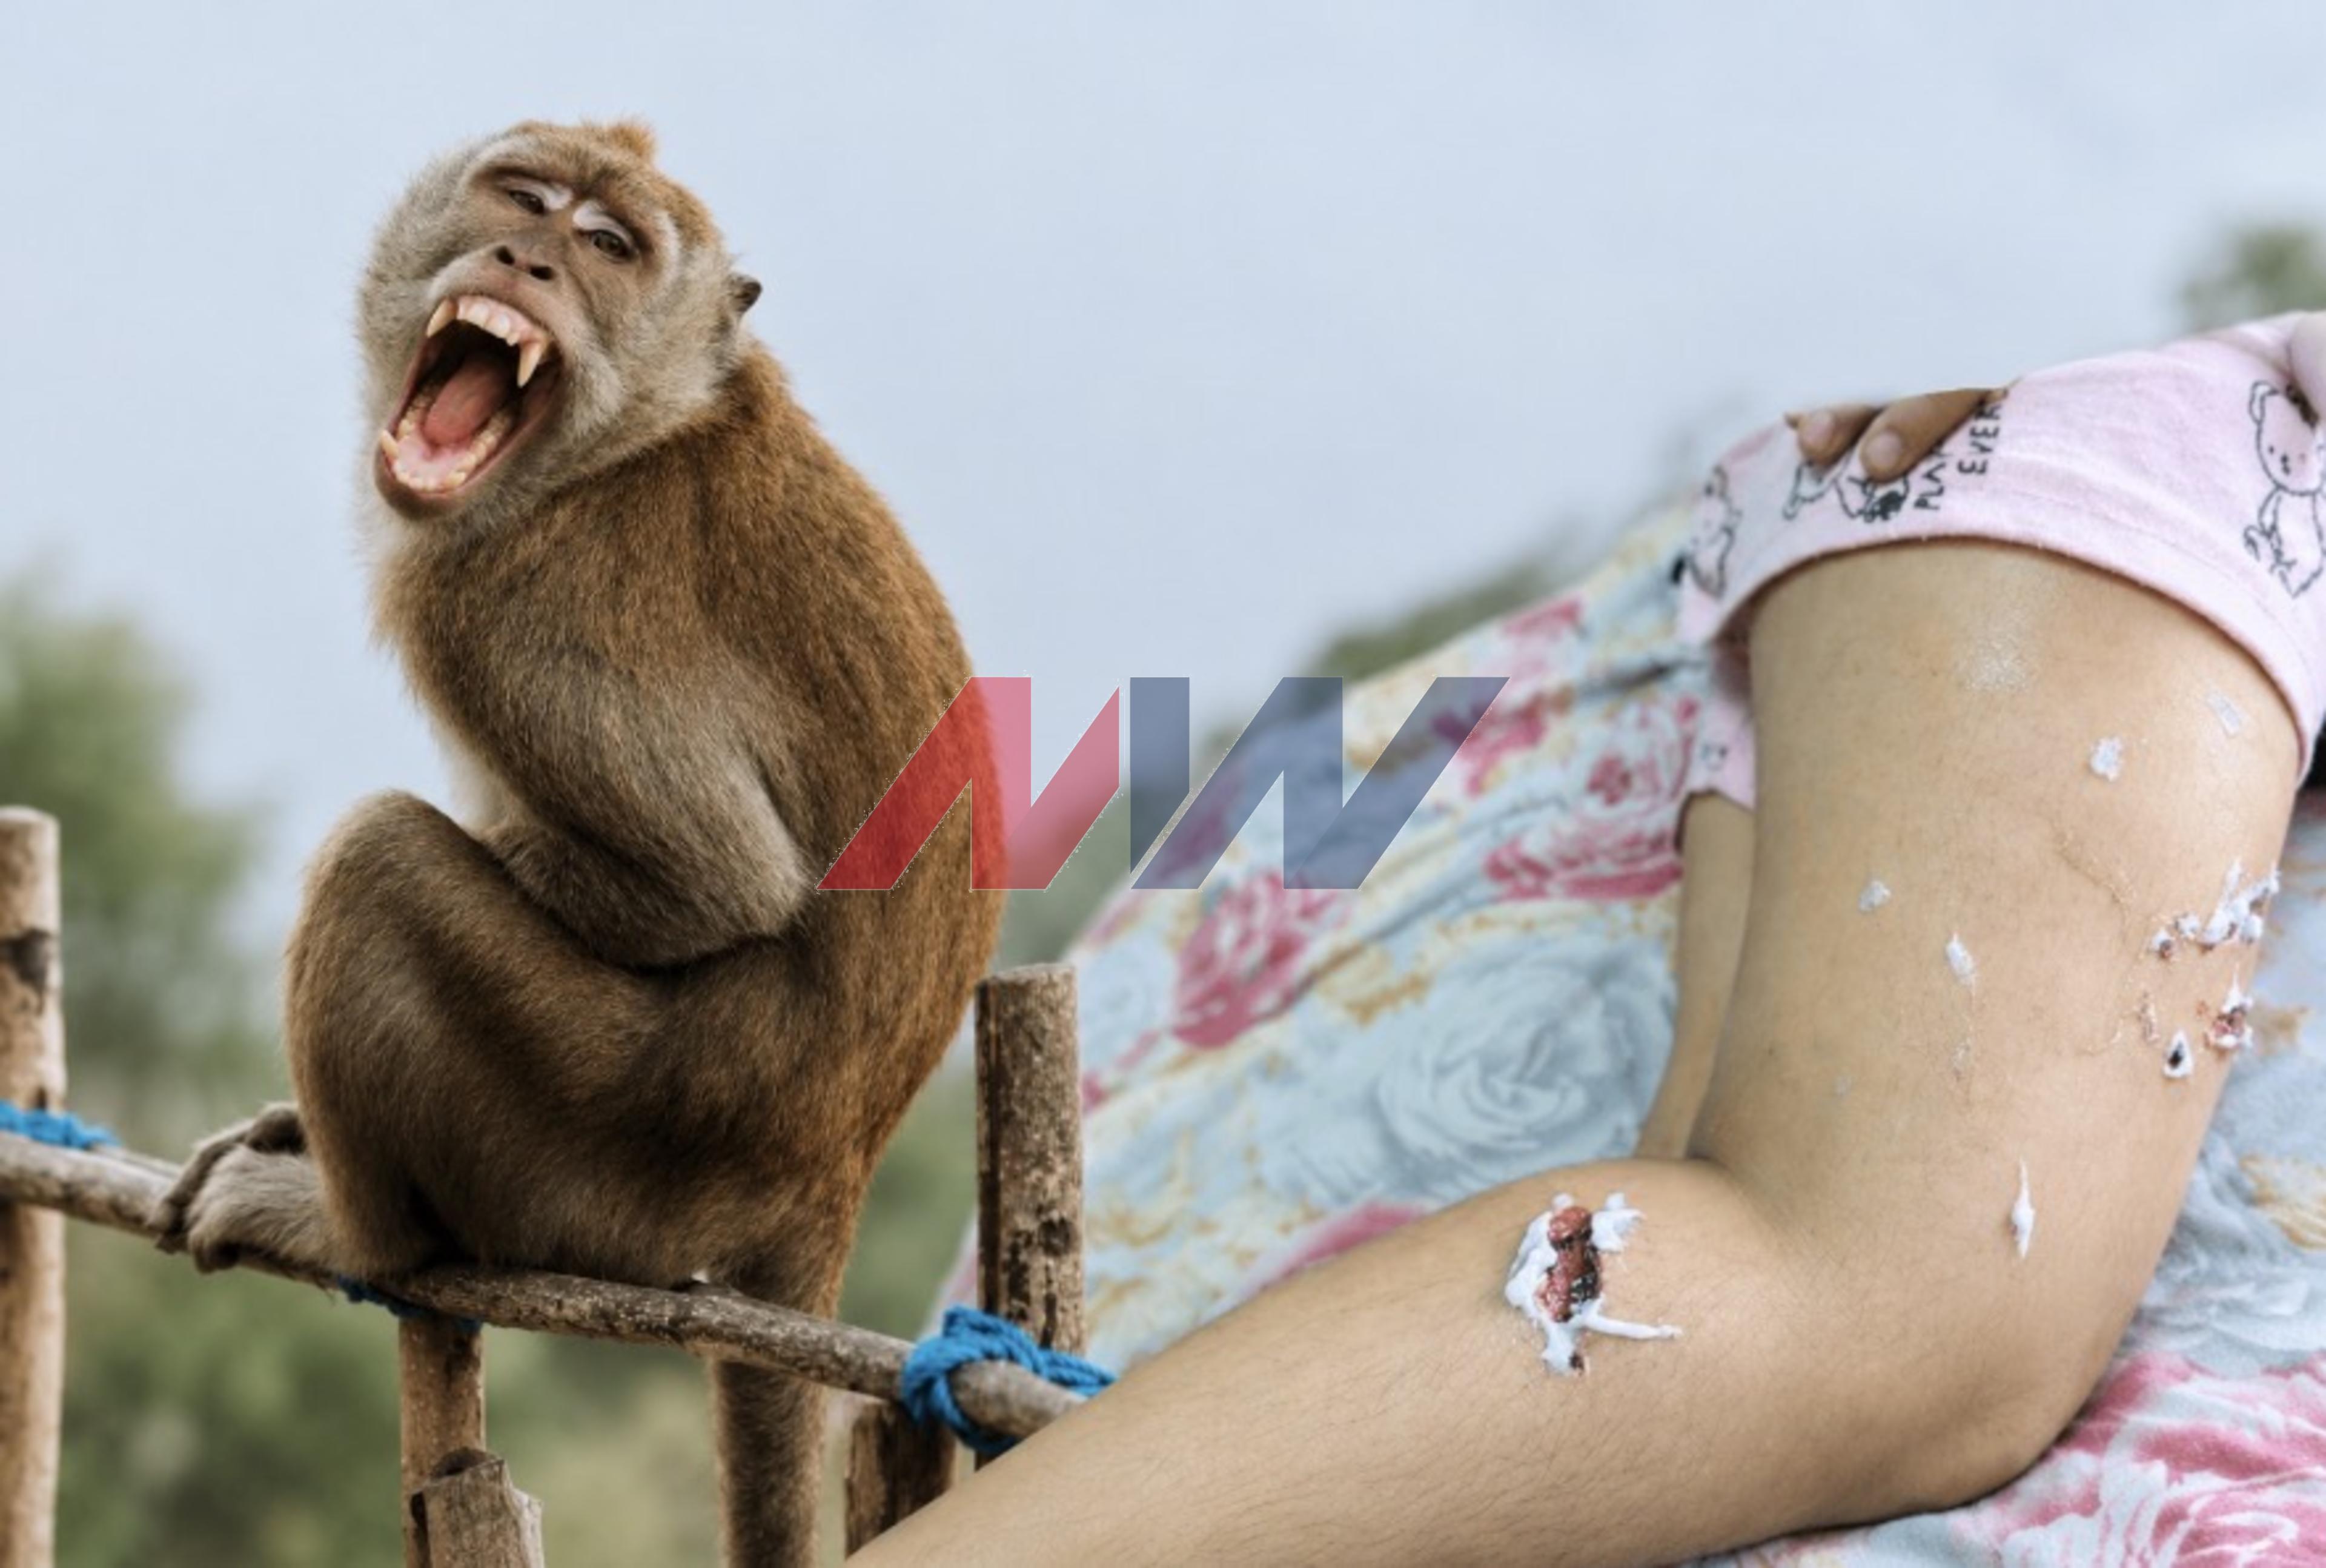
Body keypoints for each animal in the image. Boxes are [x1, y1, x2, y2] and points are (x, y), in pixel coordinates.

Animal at [151, 119, 1005, 1567]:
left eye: (606, 246)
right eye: (526, 195)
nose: (528, 258)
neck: (627, 443)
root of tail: (825, 1177)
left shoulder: (505, 607)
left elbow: (719, 885)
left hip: (588, 1168)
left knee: (378, 860)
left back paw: (355, 1232)